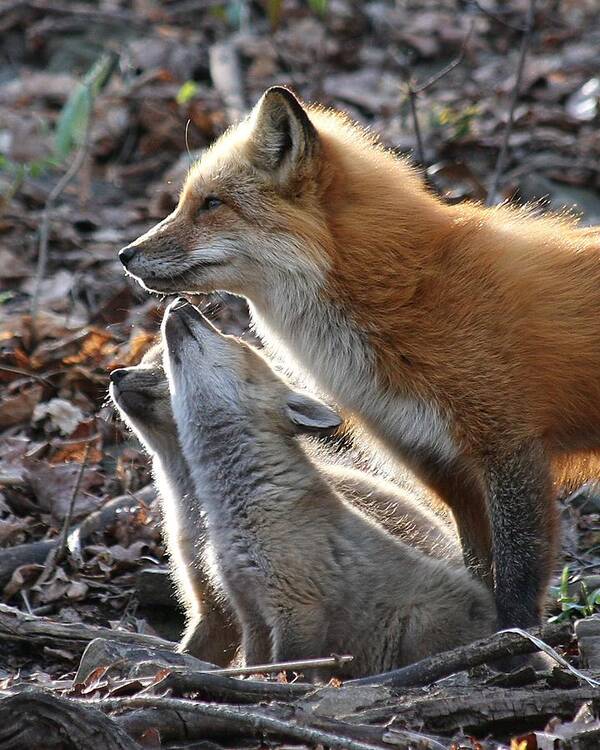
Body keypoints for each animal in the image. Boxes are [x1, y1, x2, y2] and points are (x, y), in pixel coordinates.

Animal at [117, 85, 600, 632]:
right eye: (184, 202)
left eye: (212, 204)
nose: (125, 255)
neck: (407, 292)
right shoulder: (443, 466)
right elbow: (479, 569)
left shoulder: (508, 446)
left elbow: (517, 576)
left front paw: (513, 643)